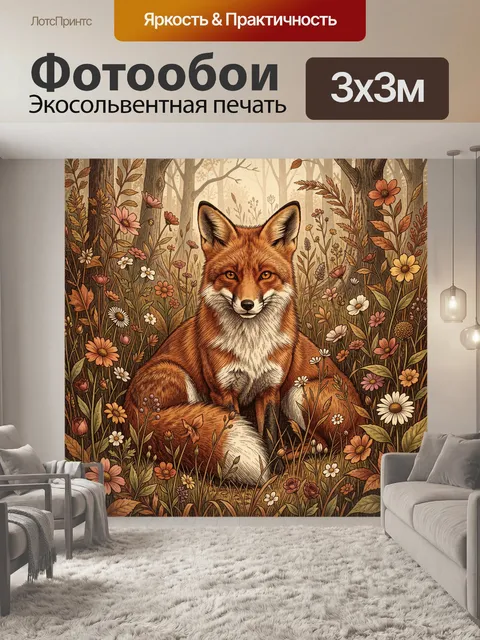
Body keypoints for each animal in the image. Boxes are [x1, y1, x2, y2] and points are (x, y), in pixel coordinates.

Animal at [124, 200, 363, 485]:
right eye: (230, 274)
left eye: (265, 274)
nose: (247, 304)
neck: (251, 346)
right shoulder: (222, 390)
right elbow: (230, 423)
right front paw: (261, 466)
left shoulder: (271, 388)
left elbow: (269, 432)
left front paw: (273, 465)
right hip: (180, 376)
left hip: (299, 392)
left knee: (326, 444)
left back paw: (288, 454)